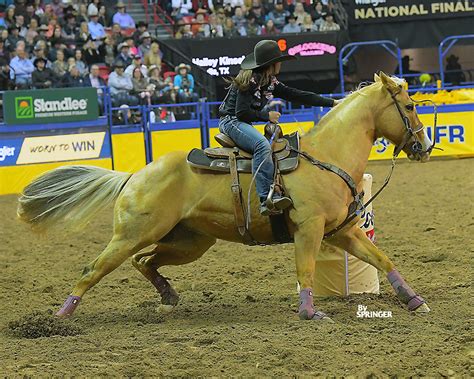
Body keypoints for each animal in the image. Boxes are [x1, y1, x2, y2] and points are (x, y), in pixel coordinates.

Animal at [17, 73, 434, 320]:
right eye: (410, 106)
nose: (425, 146)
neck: (326, 157)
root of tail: (134, 175)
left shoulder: (342, 231)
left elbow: (382, 258)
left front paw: (414, 300)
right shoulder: (309, 230)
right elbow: (306, 271)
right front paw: (310, 313)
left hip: (188, 242)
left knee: (144, 261)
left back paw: (168, 295)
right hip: (132, 234)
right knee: (94, 269)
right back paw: (60, 318)